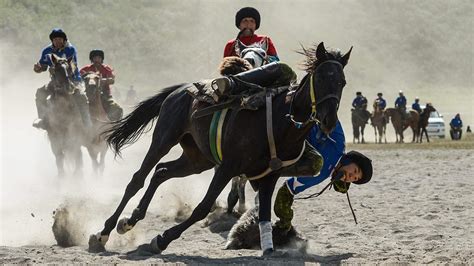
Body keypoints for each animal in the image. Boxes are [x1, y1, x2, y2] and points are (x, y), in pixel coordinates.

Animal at [88, 42, 352, 256]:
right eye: (320, 79)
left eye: (342, 82)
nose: (328, 120)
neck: (281, 122)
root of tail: (181, 88)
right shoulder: (227, 167)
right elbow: (202, 207)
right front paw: (161, 240)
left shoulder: (269, 176)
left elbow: (264, 213)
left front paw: (268, 247)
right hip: (164, 139)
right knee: (137, 179)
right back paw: (103, 233)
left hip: (197, 159)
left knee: (161, 172)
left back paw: (130, 220)